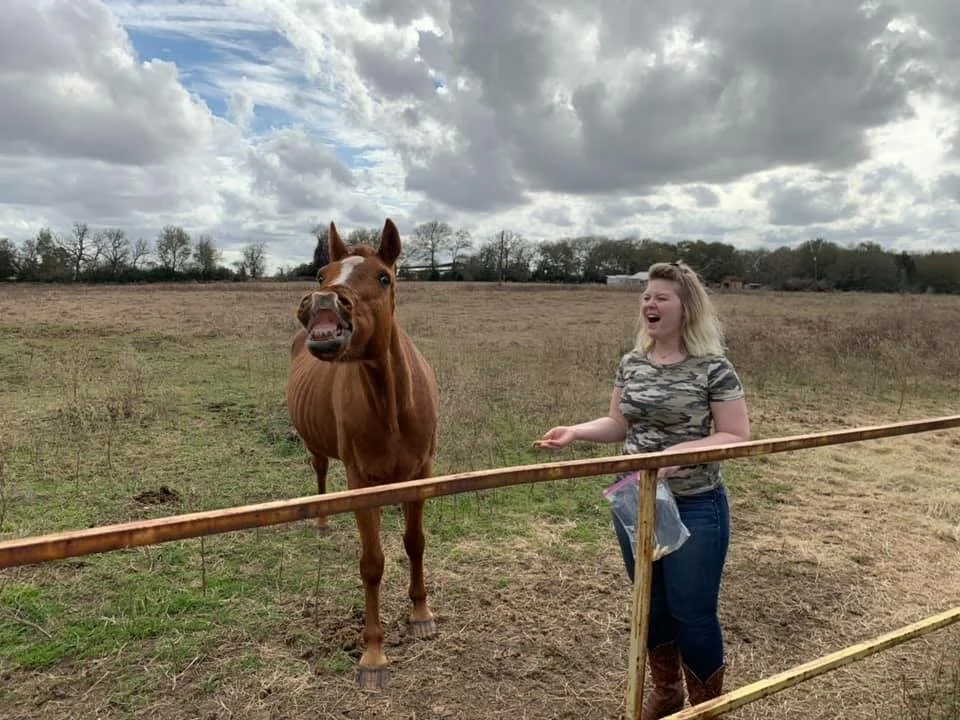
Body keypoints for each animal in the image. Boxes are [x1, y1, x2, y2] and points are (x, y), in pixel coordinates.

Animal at [286, 218, 440, 689]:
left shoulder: (422, 473)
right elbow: (372, 564)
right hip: (317, 447)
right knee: (319, 472)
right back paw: (320, 522)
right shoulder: (360, 483)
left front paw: (421, 614)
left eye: (384, 277)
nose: (323, 303)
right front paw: (373, 656)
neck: (392, 405)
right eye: (322, 273)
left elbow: (415, 543)